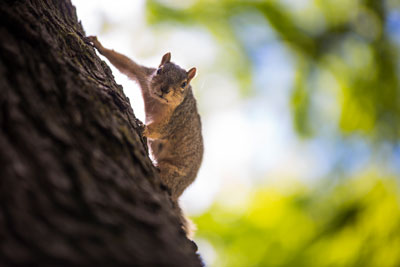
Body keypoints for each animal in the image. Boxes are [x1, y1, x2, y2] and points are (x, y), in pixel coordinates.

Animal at [86, 36, 203, 240]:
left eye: (183, 84)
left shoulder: (177, 118)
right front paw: (99, 45)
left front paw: (144, 128)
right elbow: (126, 65)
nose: (164, 89)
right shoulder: (144, 74)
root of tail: (178, 192)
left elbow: (161, 129)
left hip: (173, 173)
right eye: (159, 70)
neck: (159, 101)